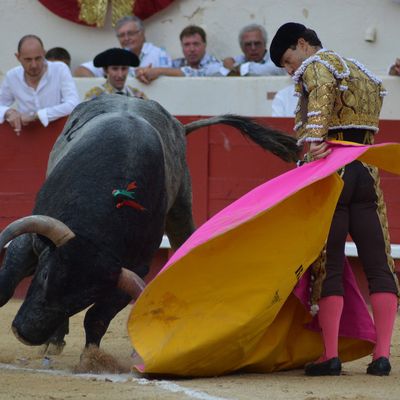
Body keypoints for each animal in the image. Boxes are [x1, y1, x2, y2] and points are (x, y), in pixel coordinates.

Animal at [0, 94, 300, 354]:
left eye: (79, 302)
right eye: (46, 275)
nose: (26, 333)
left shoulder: (135, 269)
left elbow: (97, 317)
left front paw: (93, 358)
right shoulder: (32, 239)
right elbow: (5, 285)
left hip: (180, 210)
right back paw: (54, 341)